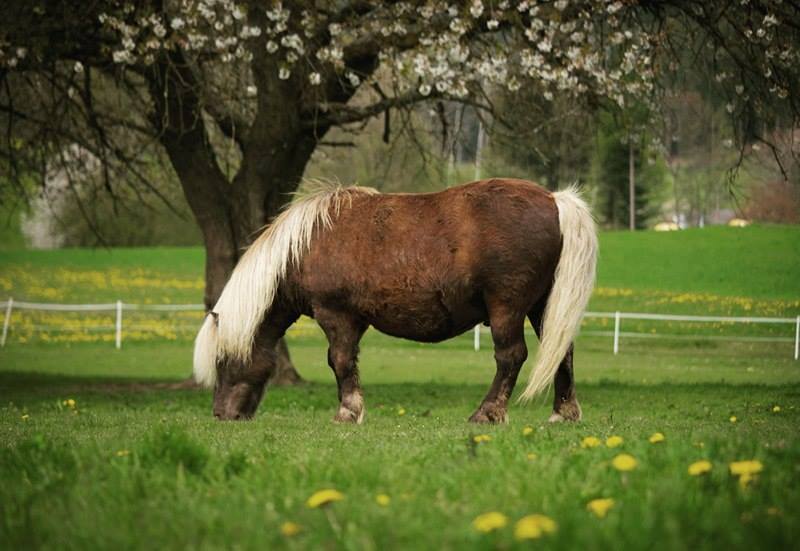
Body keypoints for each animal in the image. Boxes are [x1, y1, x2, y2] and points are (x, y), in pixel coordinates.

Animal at [192, 179, 592, 424]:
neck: (305, 246)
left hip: (506, 308)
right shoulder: (353, 320)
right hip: (542, 307)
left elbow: (339, 361)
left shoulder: (335, 315)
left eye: (222, 360)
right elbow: (347, 362)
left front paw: (348, 412)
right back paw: (563, 413)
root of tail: (554, 200)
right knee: (562, 352)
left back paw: (487, 413)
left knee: (511, 357)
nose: (221, 415)